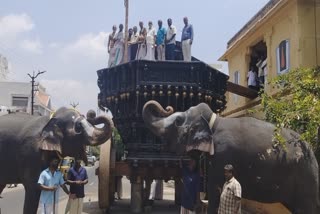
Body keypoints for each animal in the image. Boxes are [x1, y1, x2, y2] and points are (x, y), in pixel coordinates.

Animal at [142, 100, 320, 214]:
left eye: (178, 121)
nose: (168, 107)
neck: (213, 120)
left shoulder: (222, 154)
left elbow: (214, 193)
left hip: (306, 178)